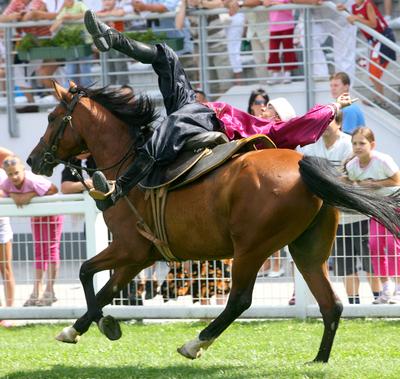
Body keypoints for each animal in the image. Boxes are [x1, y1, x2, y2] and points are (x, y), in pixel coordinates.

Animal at [28, 82, 400, 362]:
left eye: (52, 117)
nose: (33, 160)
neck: (131, 164)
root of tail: (301, 166)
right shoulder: (141, 256)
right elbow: (108, 289)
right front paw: (79, 327)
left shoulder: (129, 248)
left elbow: (86, 273)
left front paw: (100, 325)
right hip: (308, 250)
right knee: (331, 304)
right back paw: (319, 360)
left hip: (251, 249)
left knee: (240, 300)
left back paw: (195, 343)